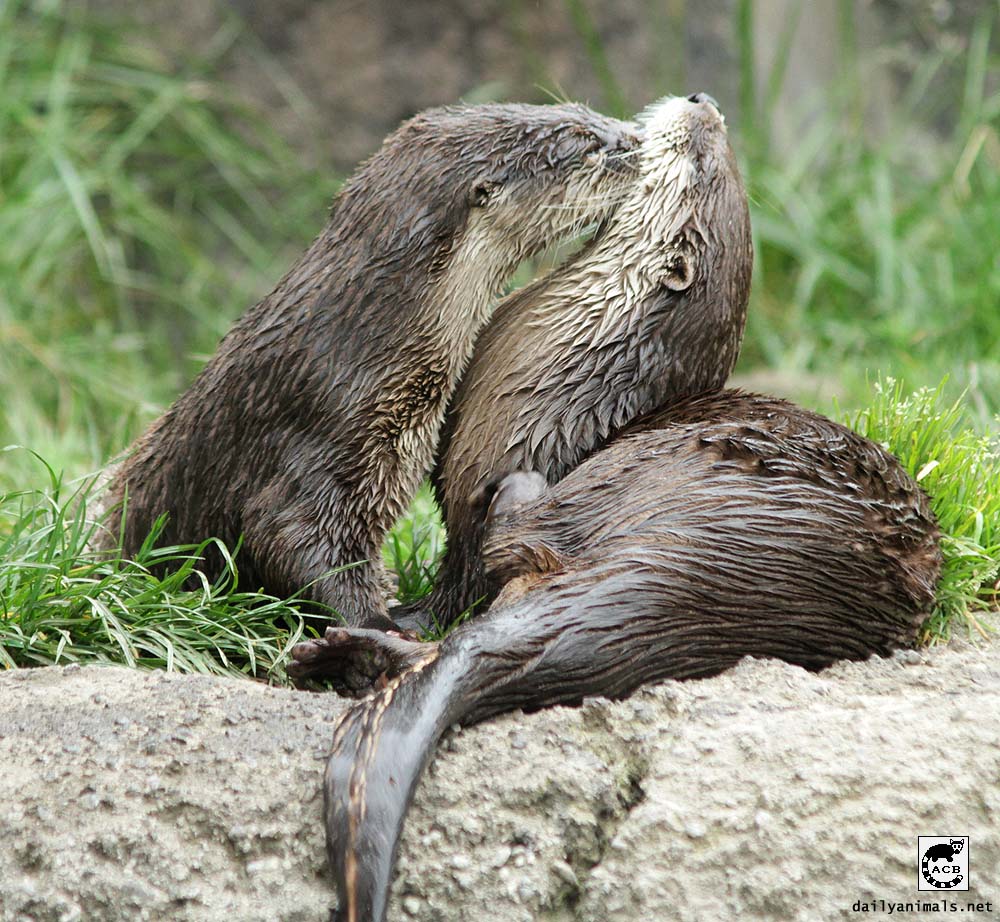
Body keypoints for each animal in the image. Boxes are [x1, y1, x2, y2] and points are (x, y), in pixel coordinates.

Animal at [100, 103, 641, 629]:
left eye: (587, 112)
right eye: (587, 145)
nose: (637, 138)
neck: (361, 348)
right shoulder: (323, 435)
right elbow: (288, 538)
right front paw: (380, 626)